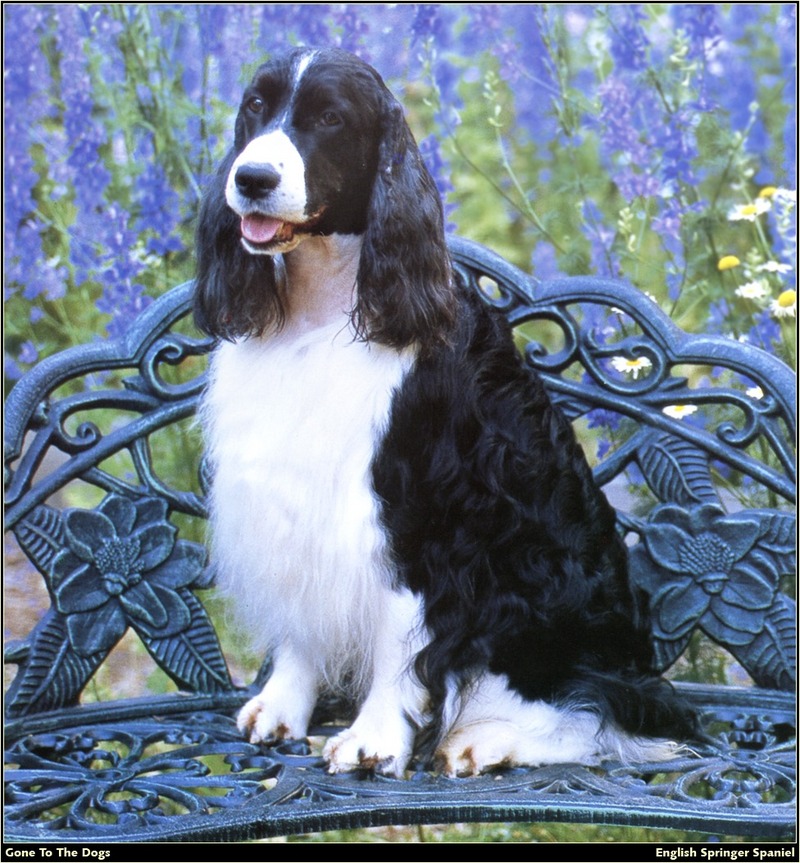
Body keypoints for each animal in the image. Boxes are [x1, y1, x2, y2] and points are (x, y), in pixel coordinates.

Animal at [195, 45, 692, 776]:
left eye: (331, 119)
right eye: (255, 106)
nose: (253, 177)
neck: (326, 310)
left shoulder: (417, 518)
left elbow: (402, 645)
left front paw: (372, 741)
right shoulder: (293, 497)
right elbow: (303, 622)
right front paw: (283, 706)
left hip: (541, 602)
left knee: (594, 710)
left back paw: (484, 740)